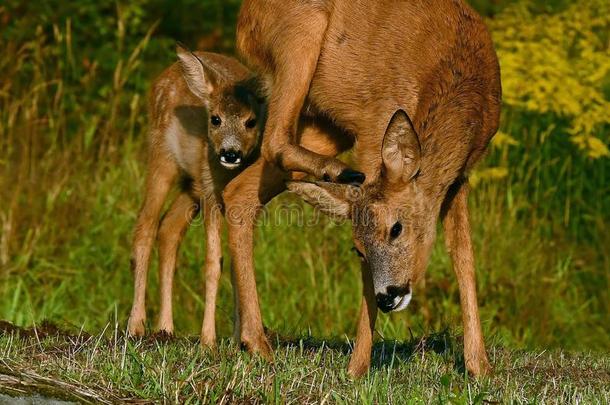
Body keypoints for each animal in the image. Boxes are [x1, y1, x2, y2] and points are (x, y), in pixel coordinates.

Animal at [127, 45, 262, 346]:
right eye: (216, 119)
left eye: (251, 121)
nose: (230, 153)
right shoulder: (210, 193)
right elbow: (213, 262)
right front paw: (208, 340)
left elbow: (237, 262)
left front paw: (237, 340)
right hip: (162, 157)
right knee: (145, 225)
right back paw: (136, 325)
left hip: (191, 186)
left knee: (168, 227)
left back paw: (165, 328)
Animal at [223, 0, 498, 376]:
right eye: (357, 250)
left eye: (397, 229)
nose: (388, 296)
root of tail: (244, 19)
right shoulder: (373, 132)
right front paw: (357, 368)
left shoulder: (461, 176)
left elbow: (464, 256)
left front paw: (479, 366)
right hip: (300, 42)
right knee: (275, 140)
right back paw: (337, 171)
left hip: (326, 124)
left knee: (240, 190)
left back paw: (255, 344)